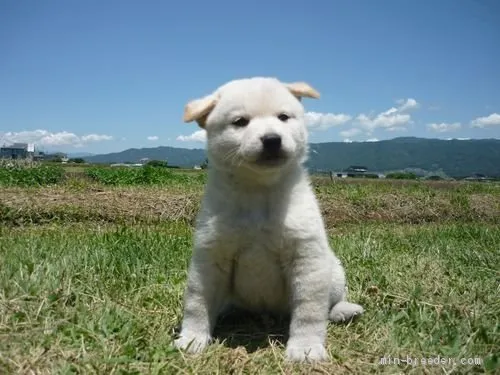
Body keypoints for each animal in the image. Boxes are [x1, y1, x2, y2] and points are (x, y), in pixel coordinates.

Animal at [174, 77, 362, 364]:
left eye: (283, 117)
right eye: (240, 121)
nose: (272, 139)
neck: (259, 192)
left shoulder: (306, 256)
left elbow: (309, 311)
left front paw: (306, 347)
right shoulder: (211, 254)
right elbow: (197, 302)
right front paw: (193, 337)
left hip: (334, 271)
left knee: (332, 301)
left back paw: (344, 310)